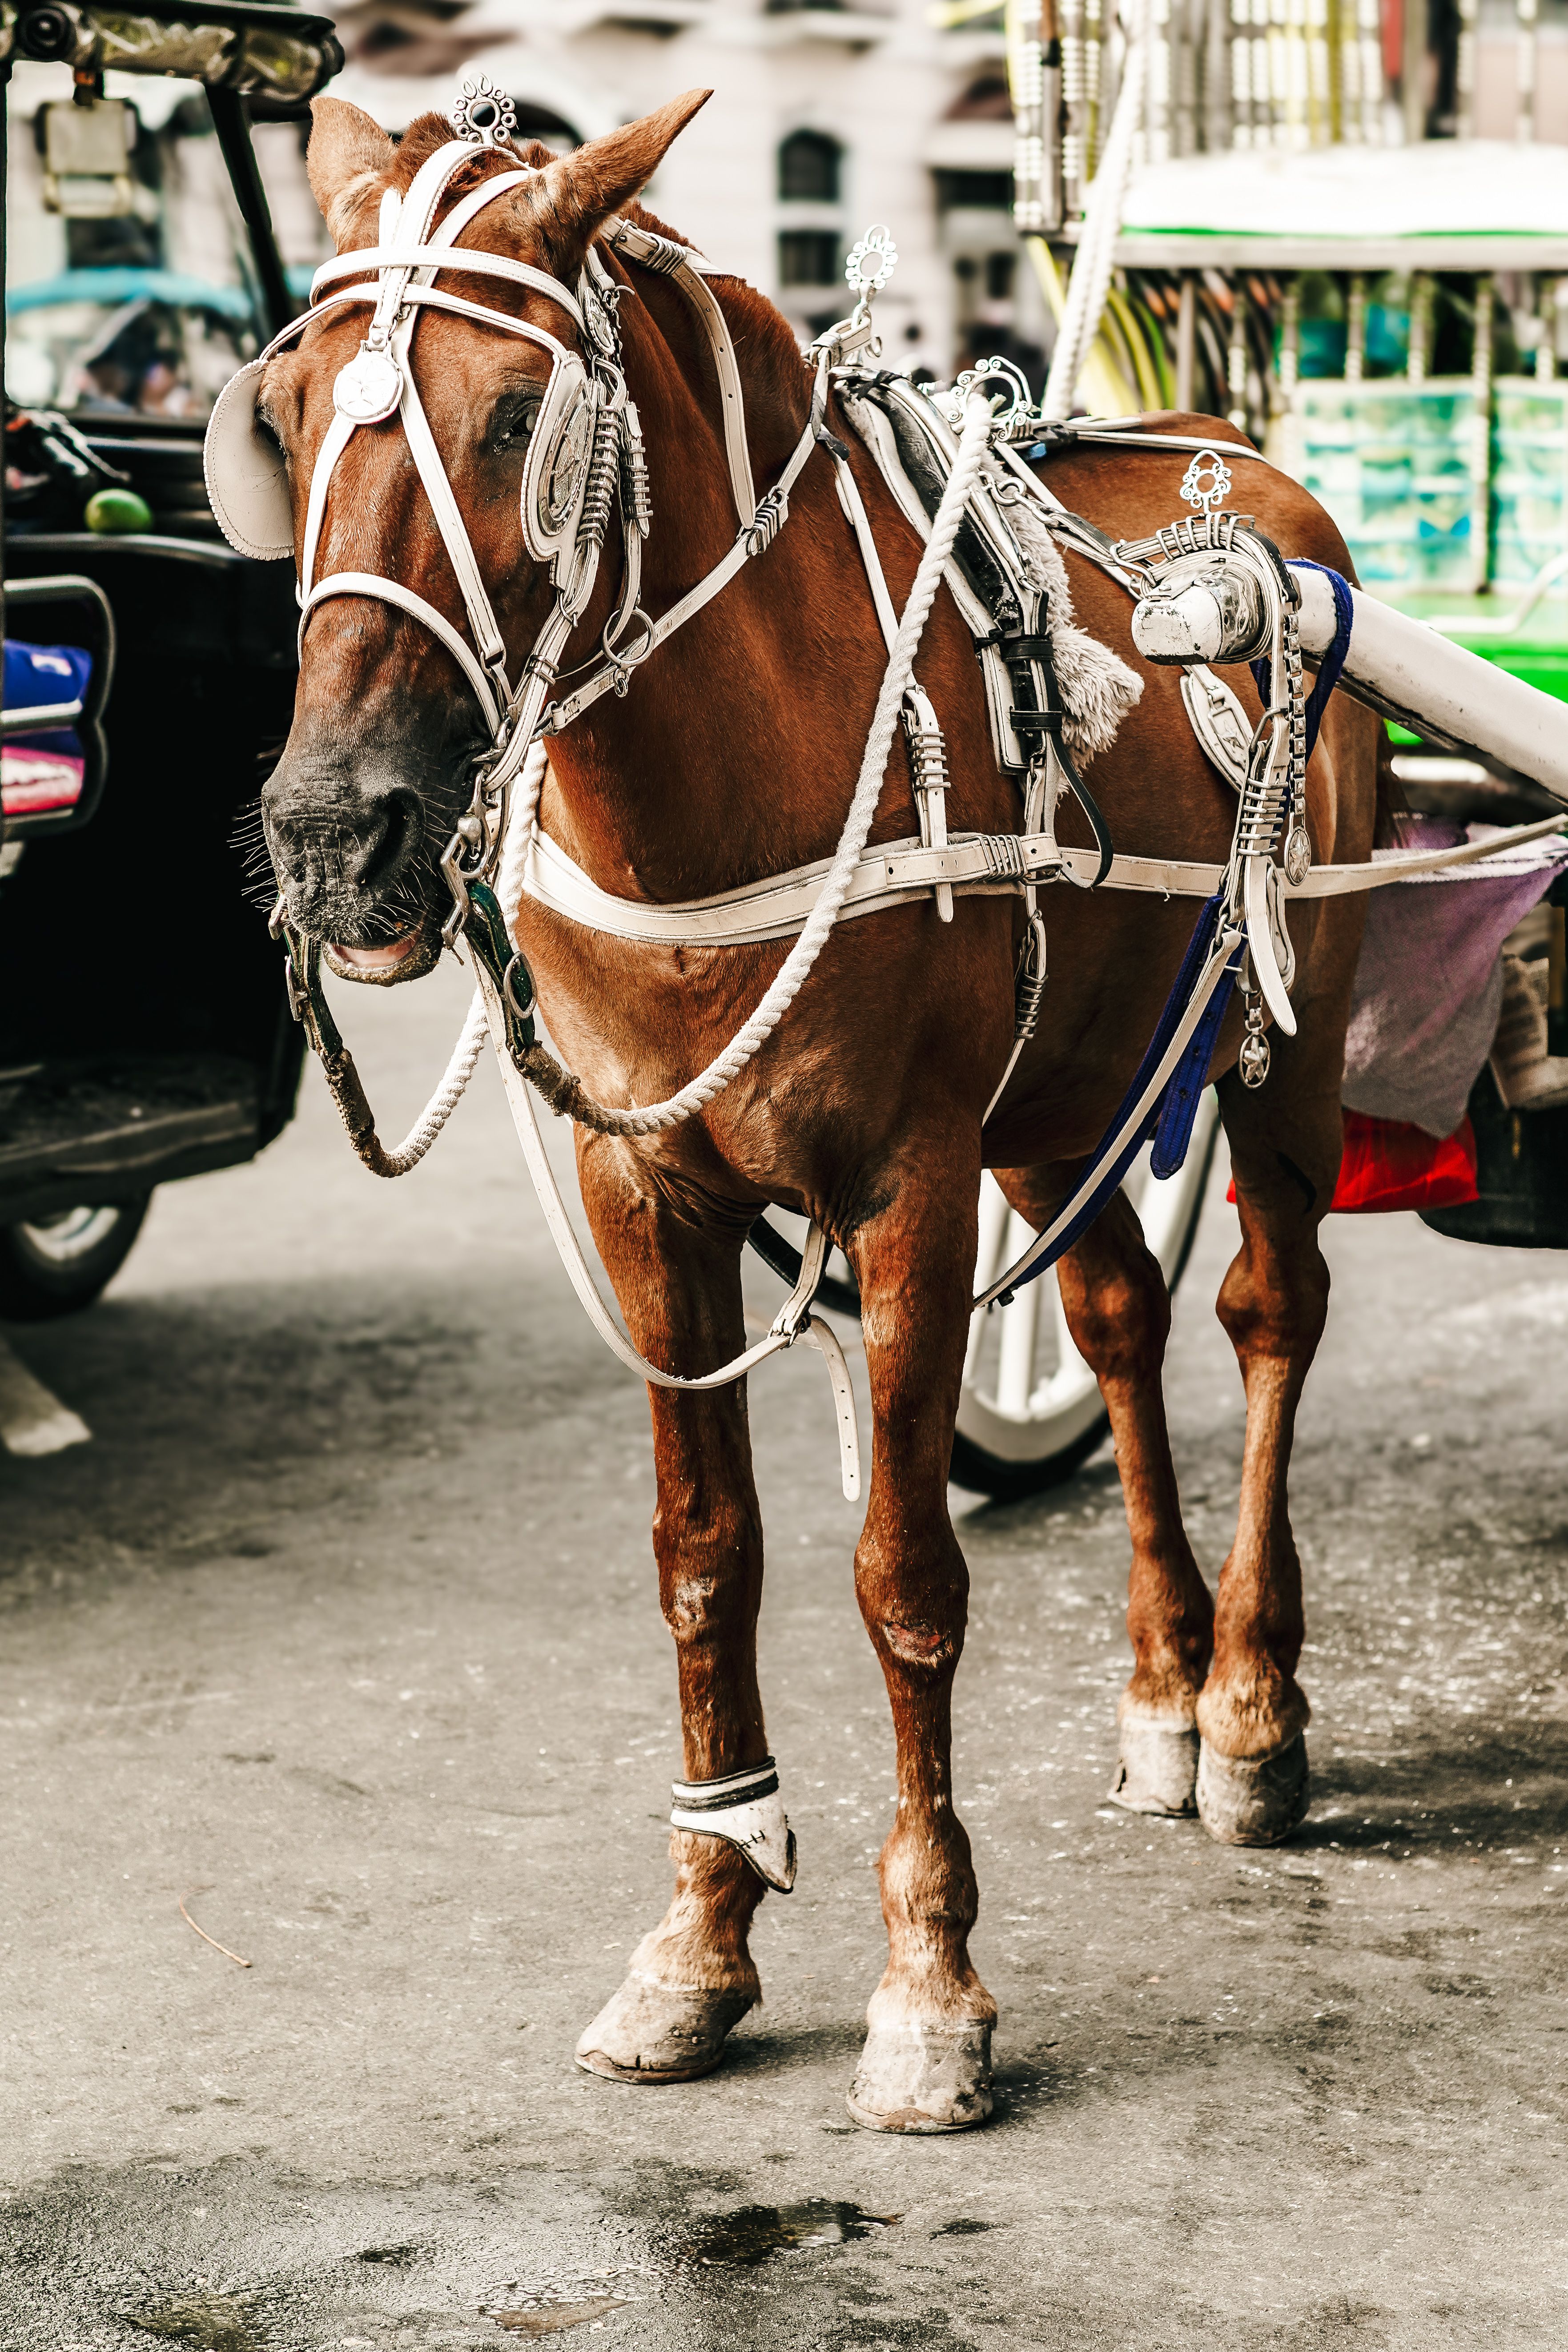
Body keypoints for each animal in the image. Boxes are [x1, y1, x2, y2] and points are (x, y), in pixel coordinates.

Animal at [253, 88, 1381, 2133]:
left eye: (519, 417)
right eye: (286, 411)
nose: (331, 835)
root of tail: (1252, 483)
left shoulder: (909, 1187)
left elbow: (900, 1573)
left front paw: (928, 1975)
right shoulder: (648, 1188)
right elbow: (705, 1558)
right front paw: (701, 1931)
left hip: (1286, 1027)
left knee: (1267, 1316)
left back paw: (1253, 1700)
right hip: (1068, 1083)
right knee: (1115, 1319)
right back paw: (1165, 1682)